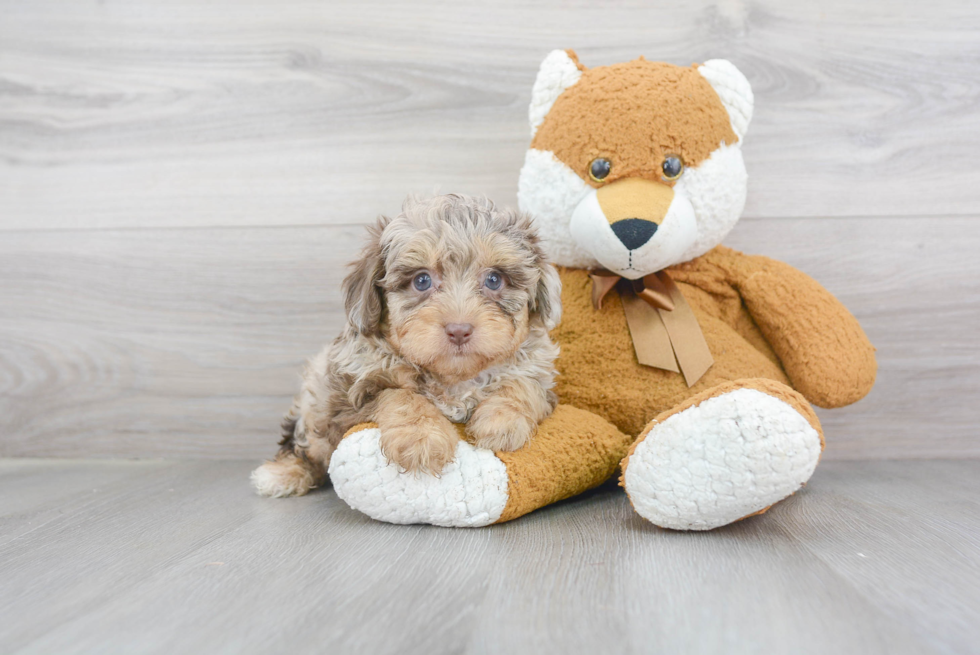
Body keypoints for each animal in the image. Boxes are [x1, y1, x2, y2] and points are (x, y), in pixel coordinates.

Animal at [249, 195, 564, 498]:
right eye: (422, 280)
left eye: (494, 279)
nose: (459, 330)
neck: (453, 380)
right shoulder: (353, 393)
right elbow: (402, 395)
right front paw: (421, 438)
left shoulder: (537, 372)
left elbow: (522, 385)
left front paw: (502, 422)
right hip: (313, 402)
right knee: (303, 445)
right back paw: (282, 474)